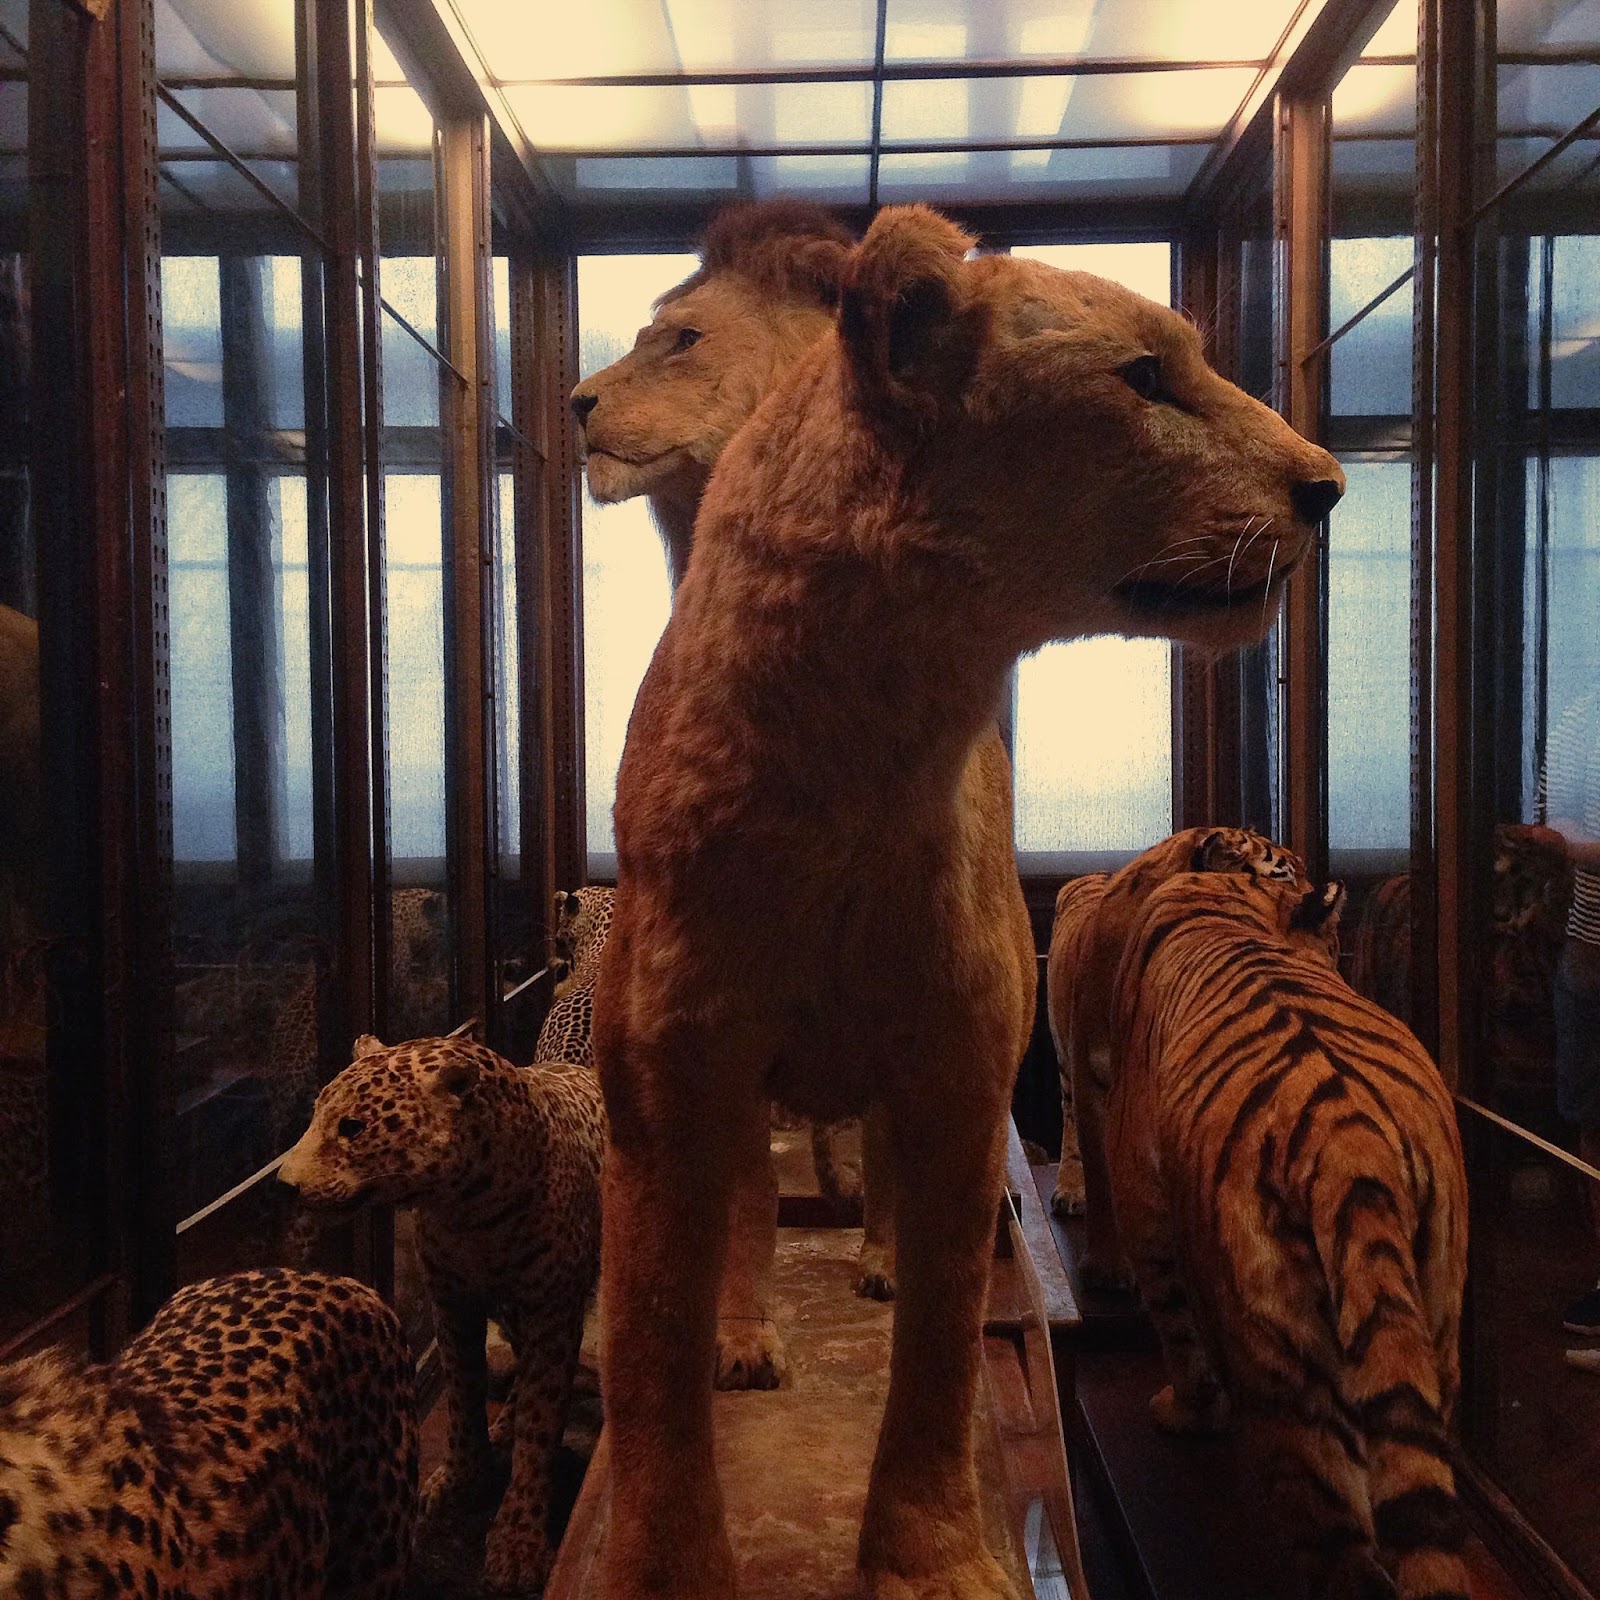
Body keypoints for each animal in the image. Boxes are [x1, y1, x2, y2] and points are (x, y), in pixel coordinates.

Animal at [1045, 826, 1308, 1284]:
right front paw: (1106, 1266)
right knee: (1069, 1125)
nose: (1327, 906)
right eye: (1283, 876)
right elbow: (1101, 1171)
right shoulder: (1091, 1075)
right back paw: (1070, 1190)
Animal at [1108, 870, 1469, 1600]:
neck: (1234, 903)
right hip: (1438, 1327)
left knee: (1340, 1555)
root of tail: (1354, 1145)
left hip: (1287, 1382)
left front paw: (1184, 1414)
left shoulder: (1141, 1198)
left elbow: (1177, 1327)